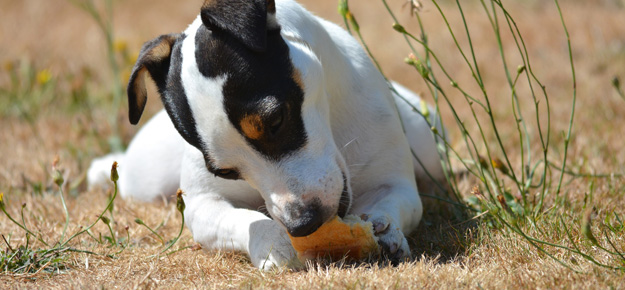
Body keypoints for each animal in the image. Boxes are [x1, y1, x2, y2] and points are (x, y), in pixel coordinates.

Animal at [90, 0, 446, 270]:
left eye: (275, 120)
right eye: (225, 172)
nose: (302, 224)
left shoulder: (395, 185)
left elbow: (394, 202)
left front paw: (385, 228)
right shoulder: (201, 205)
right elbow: (244, 220)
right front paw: (273, 242)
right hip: (146, 179)